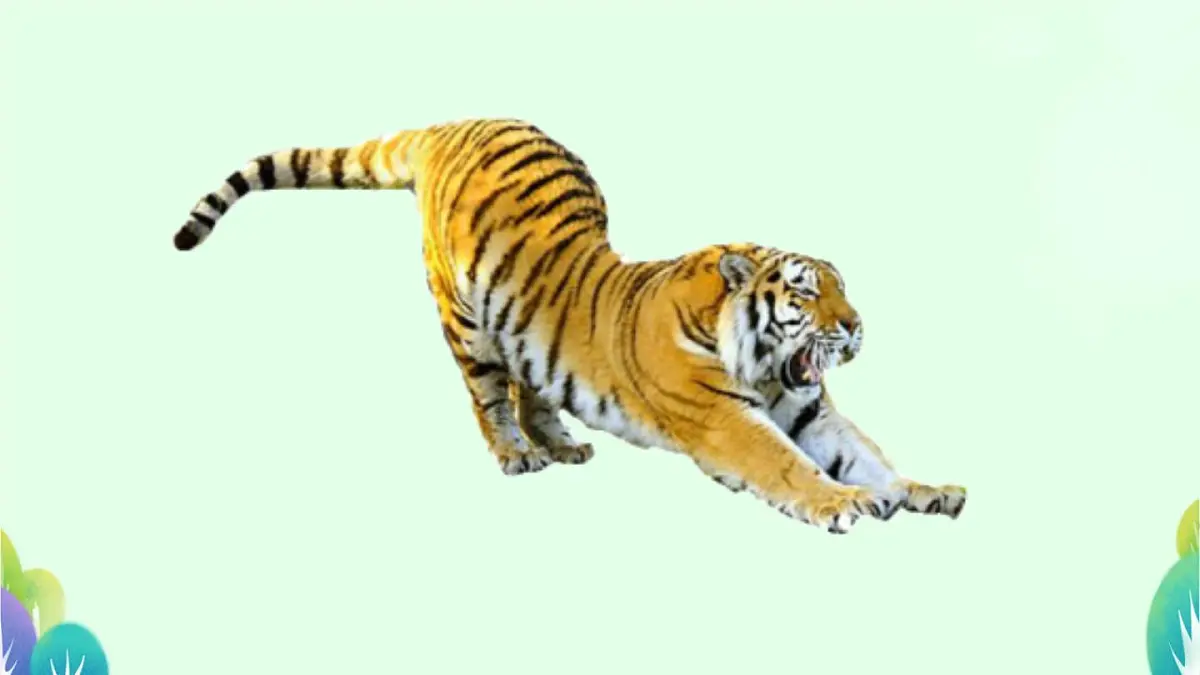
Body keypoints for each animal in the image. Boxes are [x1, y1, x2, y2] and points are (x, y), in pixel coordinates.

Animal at [173, 118, 966, 534]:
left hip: (520, 323)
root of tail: (450, 123)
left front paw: (920, 490)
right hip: (467, 322)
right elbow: (789, 466)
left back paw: (560, 445)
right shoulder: (724, 422)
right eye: (807, 291)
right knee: (489, 399)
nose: (857, 326)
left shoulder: (809, 410)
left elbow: (866, 451)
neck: (759, 357)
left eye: (843, 287)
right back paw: (518, 455)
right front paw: (847, 503)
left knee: (534, 383)